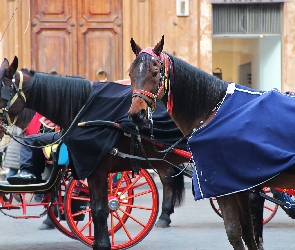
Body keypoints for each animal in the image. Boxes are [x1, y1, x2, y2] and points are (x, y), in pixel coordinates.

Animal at [0, 57, 187, 250]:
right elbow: (87, 204)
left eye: (2, 92)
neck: (81, 111)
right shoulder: (87, 168)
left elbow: (100, 209)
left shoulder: (97, 169)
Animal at [129, 35, 295, 250]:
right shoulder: (240, 187)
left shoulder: (225, 188)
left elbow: (234, 233)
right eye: (130, 73)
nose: (137, 114)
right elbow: (248, 234)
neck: (213, 111)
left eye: (155, 72)